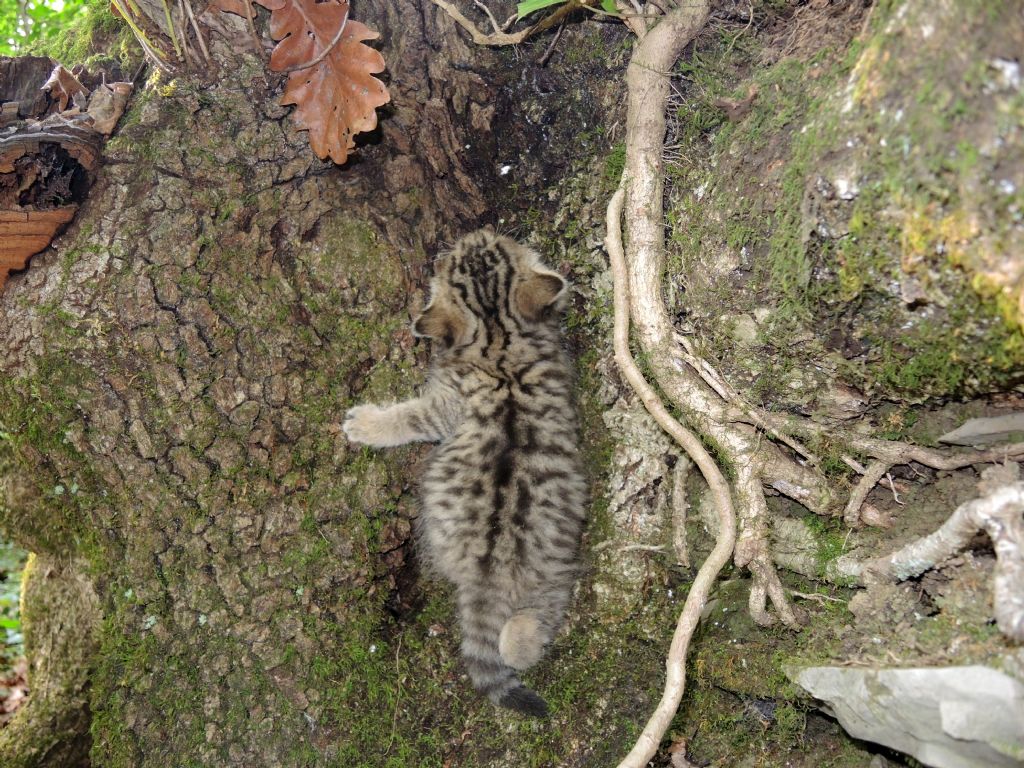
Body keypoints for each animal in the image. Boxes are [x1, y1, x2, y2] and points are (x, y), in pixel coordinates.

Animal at [344, 227, 585, 716]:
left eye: (451, 259)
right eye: (490, 246)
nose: (475, 231)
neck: (499, 335)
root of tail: (490, 569)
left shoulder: (444, 405)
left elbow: (410, 417)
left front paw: (366, 425)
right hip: (553, 571)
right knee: (540, 613)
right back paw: (521, 639)